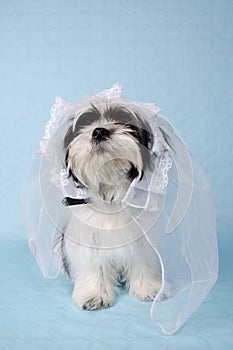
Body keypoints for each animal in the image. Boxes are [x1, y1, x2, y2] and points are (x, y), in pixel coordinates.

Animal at [60, 97, 166, 310]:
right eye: (85, 124)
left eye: (124, 121)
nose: (99, 131)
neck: (111, 197)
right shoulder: (88, 238)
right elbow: (93, 263)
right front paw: (93, 294)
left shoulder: (142, 238)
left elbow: (142, 259)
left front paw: (148, 288)